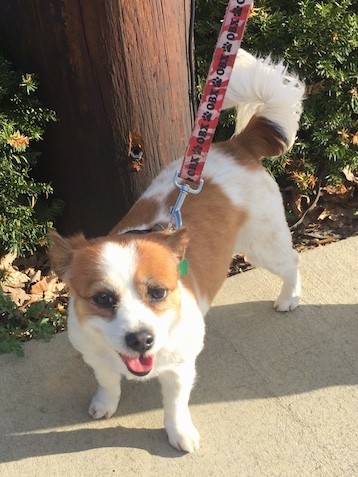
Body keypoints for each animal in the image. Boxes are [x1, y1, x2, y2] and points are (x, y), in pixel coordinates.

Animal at [48, 49, 304, 454]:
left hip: (263, 245)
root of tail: (236, 147)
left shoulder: (180, 368)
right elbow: (108, 381)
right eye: (103, 299)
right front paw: (106, 402)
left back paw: (289, 297)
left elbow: (175, 405)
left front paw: (179, 432)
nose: (141, 339)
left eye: (157, 292)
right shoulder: (96, 355)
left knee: (292, 260)